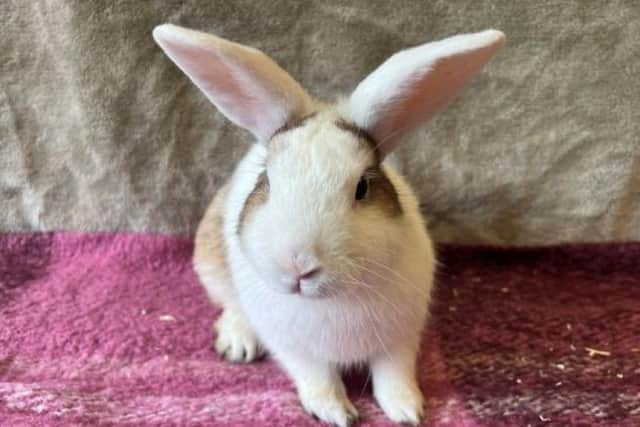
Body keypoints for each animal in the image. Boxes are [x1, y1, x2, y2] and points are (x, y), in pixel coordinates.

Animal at [152, 24, 502, 427]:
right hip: (212, 265)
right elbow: (318, 378)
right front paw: (337, 413)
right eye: (267, 180)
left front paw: (408, 411)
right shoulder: (295, 349)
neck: (330, 300)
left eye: (362, 187)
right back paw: (238, 343)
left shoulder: (400, 338)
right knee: (231, 305)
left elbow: (393, 375)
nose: (298, 264)